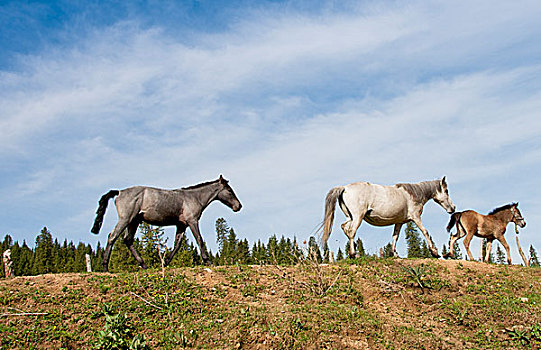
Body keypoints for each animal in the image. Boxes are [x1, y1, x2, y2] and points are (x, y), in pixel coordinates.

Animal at [90, 175, 240, 270]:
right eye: (229, 190)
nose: (238, 206)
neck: (193, 197)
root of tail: (119, 192)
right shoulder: (192, 221)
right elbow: (199, 239)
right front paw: (208, 261)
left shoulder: (182, 225)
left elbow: (177, 245)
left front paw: (165, 262)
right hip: (125, 219)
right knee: (112, 237)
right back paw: (105, 267)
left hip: (134, 221)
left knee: (128, 240)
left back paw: (143, 265)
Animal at [322, 178, 454, 258]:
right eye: (447, 190)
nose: (453, 208)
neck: (414, 194)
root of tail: (344, 188)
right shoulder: (416, 217)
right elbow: (425, 231)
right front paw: (434, 252)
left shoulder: (399, 222)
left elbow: (395, 236)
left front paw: (394, 254)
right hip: (358, 217)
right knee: (351, 231)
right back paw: (355, 254)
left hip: (350, 217)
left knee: (344, 228)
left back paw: (352, 252)